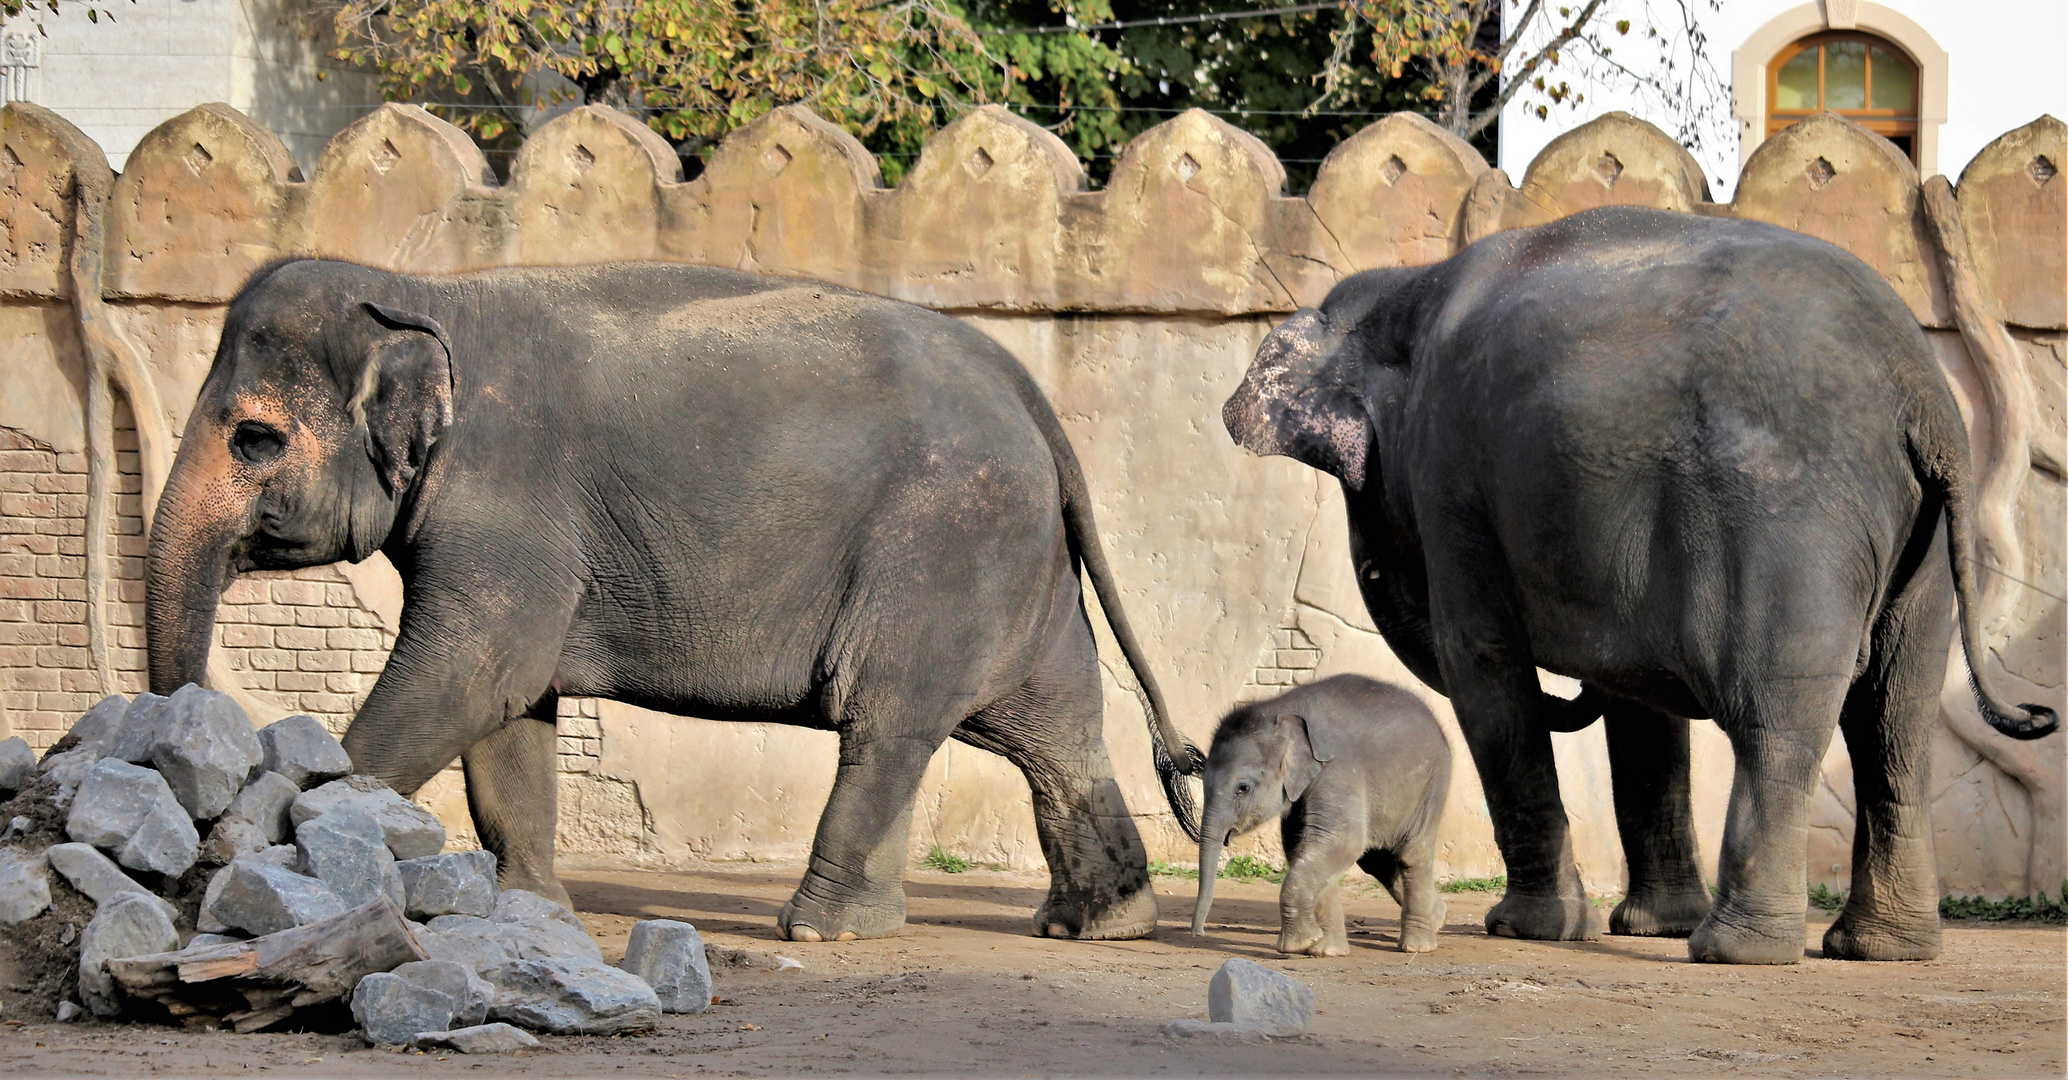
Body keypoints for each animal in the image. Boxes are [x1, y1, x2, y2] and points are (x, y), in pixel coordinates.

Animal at [145, 256, 1207, 935]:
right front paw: (535, 909)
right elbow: (510, 706)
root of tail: (1026, 388)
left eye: (253, 439)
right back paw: (1097, 925)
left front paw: (270, 854)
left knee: (887, 722)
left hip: (943, 546)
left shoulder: (507, 499)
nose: (193, 857)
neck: (421, 291)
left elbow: (472, 671)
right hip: (1017, 562)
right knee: (1053, 730)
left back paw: (819, 931)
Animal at [1199, 670, 1455, 951]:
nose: (1198, 932)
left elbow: (1343, 841)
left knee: (1412, 855)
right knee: (1377, 861)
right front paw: (1324, 950)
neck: (1279, 710)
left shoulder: (1337, 770)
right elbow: (1303, 848)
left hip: (1432, 783)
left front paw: (1297, 945)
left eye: (1242, 788)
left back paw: (1417, 946)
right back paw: (1438, 917)